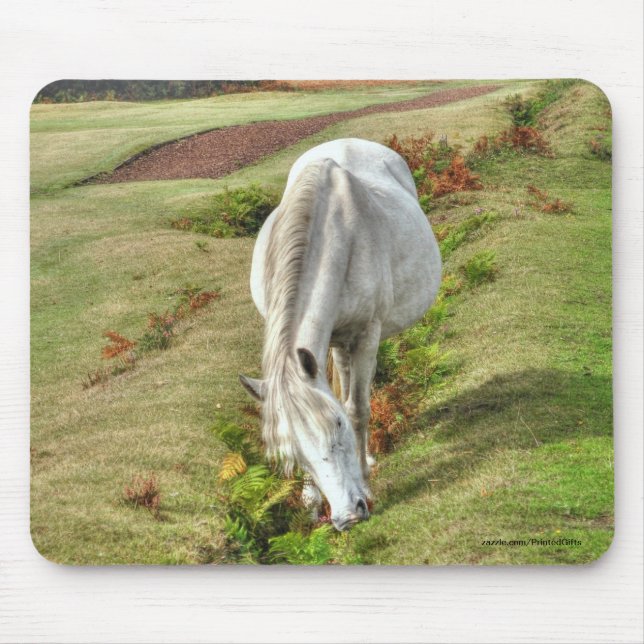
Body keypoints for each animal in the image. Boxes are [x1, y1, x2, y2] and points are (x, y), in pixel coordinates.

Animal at [239, 138, 441, 531]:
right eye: (293, 453)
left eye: (337, 428)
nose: (348, 516)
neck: (333, 237)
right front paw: (309, 499)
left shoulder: (365, 335)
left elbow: (357, 409)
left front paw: (365, 478)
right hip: (335, 341)